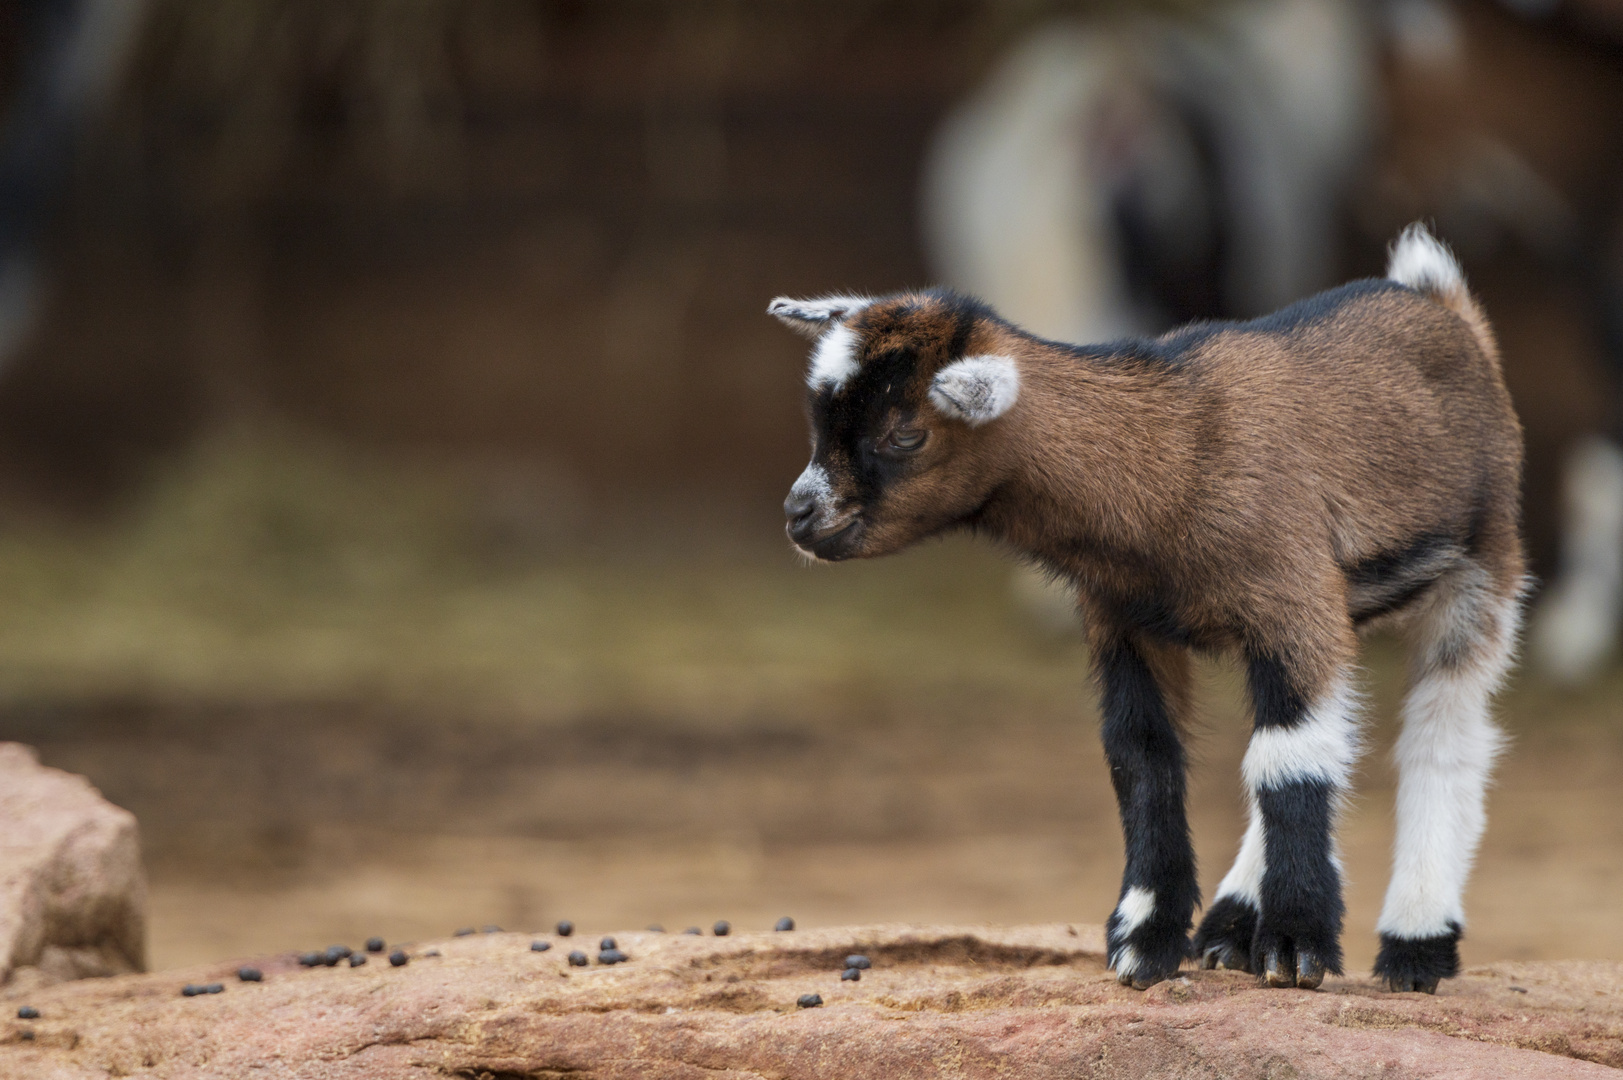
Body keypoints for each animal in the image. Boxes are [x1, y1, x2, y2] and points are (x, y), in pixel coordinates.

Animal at [769, 222, 1519, 987]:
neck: (1174, 459)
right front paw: (1145, 938)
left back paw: (1414, 943)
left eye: (904, 434)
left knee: (1443, 735)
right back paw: (1229, 927)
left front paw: (1294, 945)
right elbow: (1143, 759)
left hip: (1482, 565)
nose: (799, 516)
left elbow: (1289, 762)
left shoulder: (1288, 599)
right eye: (820, 424)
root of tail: (1438, 299)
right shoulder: (1127, 622)